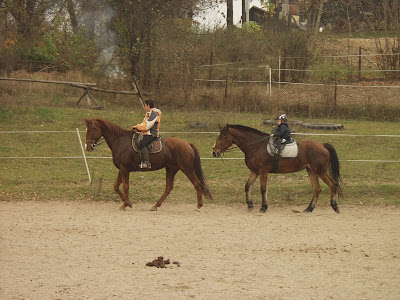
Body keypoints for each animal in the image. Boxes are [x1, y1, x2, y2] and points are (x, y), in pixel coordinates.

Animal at [83, 118, 211, 211]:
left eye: (91, 130)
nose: (87, 147)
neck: (120, 141)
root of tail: (187, 144)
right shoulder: (122, 169)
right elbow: (116, 186)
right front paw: (127, 203)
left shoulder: (124, 169)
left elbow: (125, 186)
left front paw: (127, 204)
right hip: (171, 169)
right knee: (169, 187)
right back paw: (155, 205)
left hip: (187, 169)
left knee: (196, 183)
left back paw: (199, 205)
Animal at [211, 124, 342, 213]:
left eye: (223, 137)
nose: (214, 152)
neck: (256, 145)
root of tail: (322, 145)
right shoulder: (254, 171)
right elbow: (247, 186)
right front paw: (250, 205)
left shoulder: (263, 172)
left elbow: (263, 189)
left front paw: (263, 207)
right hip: (311, 171)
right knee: (317, 189)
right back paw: (309, 208)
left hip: (320, 171)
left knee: (333, 185)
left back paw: (335, 206)